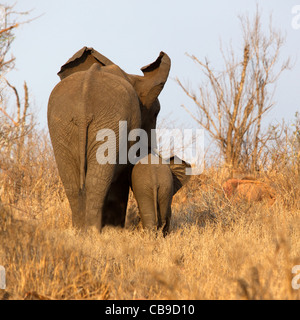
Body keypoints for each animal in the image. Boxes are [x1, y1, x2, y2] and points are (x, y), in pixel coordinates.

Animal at [47, 46, 170, 232]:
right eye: (156, 113)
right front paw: (115, 229)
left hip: (63, 125)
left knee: (72, 180)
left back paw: (80, 231)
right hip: (106, 125)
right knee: (97, 180)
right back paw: (92, 231)